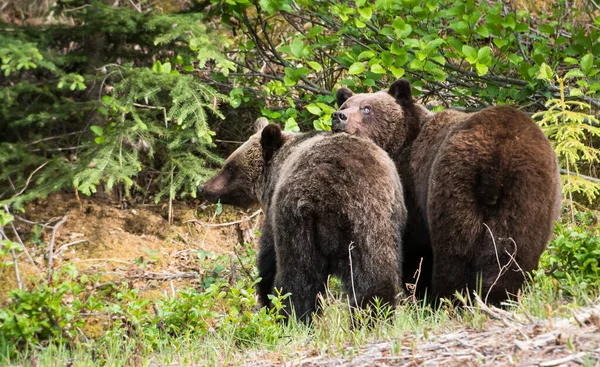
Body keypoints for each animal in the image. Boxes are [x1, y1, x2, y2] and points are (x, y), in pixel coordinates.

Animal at [199, 119, 406, 324]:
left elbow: (268, 259)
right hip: (371, 223)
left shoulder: (273, 213)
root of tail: (334, 193)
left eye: (229, 166)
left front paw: (267, 299)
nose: (203, 187)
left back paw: (293, 318)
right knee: (373, 278)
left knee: (299, 278)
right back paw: (373, 317)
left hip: (298, 220)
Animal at [332, 80, 564, 304]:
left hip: (454, 185)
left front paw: (420, 293)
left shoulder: (411, 192)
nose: (338, 117)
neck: (400, 147)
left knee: (454, 252)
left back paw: (451, 298)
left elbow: (416, 251)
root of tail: (497, 156)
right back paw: (500, 298)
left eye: (367, 108)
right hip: (529, 195)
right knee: (516, 253)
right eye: (345, 105)